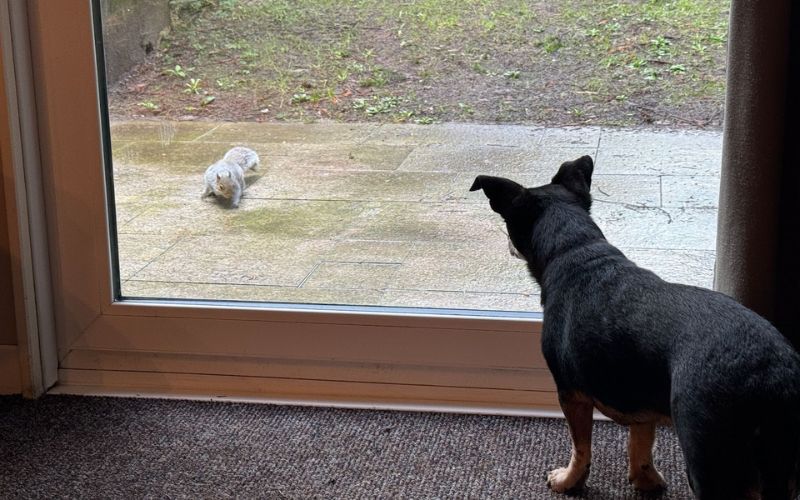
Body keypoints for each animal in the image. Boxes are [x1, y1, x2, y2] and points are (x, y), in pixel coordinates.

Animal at [472, 155, 800, 496]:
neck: (575, 248)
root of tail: (773, 375)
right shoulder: (639, 394)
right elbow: (641, 443)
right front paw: (647, 481)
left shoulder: (570, 393)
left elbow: (581, 448)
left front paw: (568, 481)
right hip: (781, 462)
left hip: (710, 459)